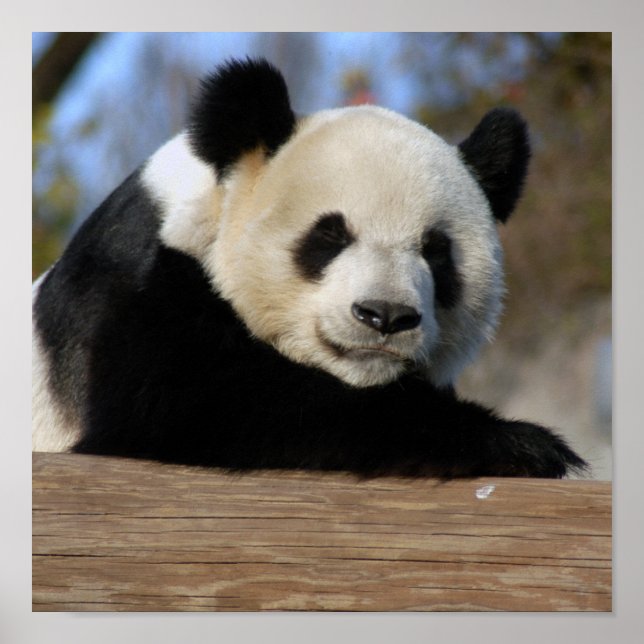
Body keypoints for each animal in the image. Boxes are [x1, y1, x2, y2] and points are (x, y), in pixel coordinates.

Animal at [32, 57, 586, 478]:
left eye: (435, 250)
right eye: (330, 235)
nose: (386, 316)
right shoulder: (140, 288)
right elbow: (189, 403)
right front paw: (521, 441)